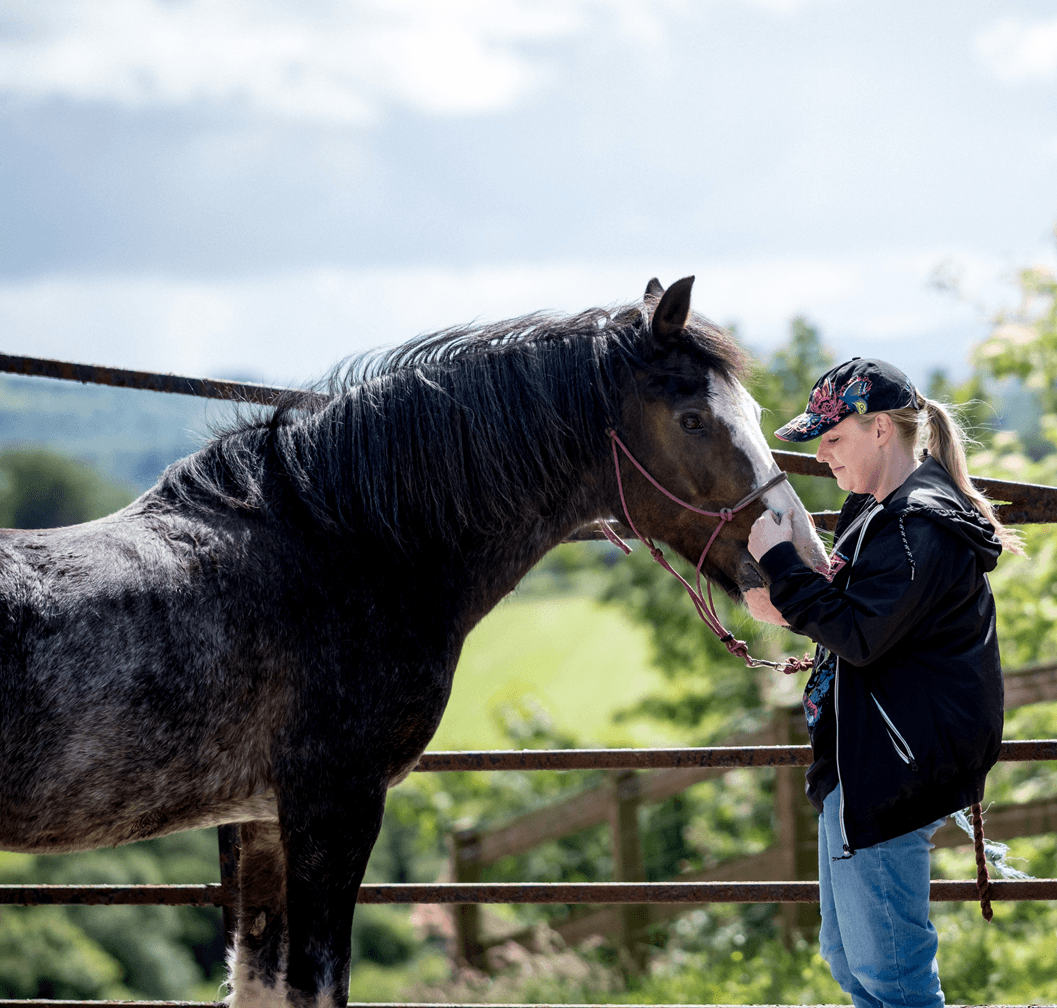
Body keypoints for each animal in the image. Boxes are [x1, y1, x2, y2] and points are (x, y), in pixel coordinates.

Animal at [0, 276, 826, 1007]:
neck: (339, 549)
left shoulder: (259, 818)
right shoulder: (334, 804)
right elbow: (314, 986)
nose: (802, 562)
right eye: (691, 419)